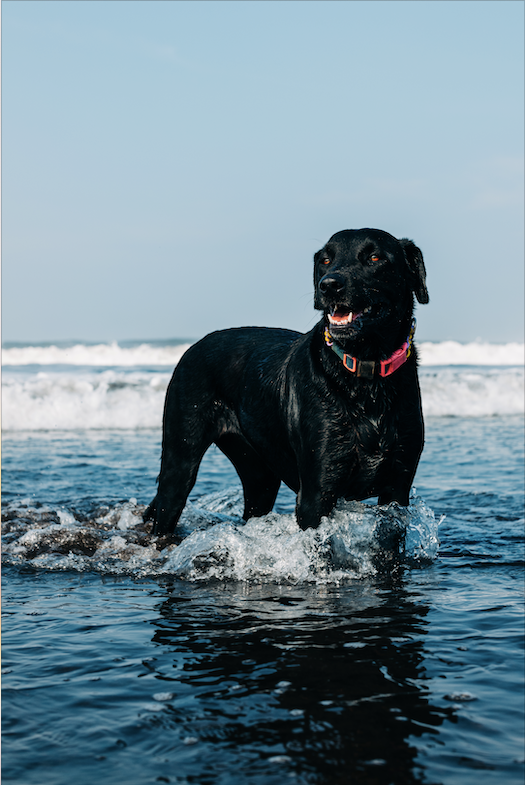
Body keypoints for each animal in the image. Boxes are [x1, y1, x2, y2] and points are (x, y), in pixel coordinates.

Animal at [145, 227, 428, 532]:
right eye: (326, 260)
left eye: (375, 257)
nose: (329, 285)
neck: (366, 374)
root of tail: (193, 347)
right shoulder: (316, 493)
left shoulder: (397, 487)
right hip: (180, 459)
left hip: (259, 474)